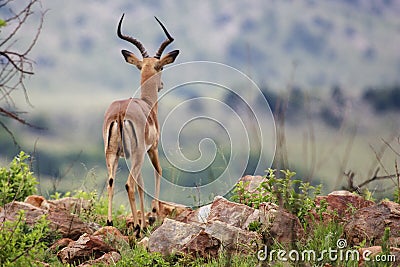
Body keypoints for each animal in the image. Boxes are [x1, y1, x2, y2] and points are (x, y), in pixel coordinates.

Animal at [102, 13, 179, 233]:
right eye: (161, 67)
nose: (162, 84)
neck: (147, 105)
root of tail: (120, 114)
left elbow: (141, 185)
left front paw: (145, 221)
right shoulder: (151, 149)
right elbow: (158, 172)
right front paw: (151, 216)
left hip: (112, 154)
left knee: (112, 182)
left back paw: (110, 222)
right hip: (136, 155)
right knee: (129, 183)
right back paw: (136, 227)